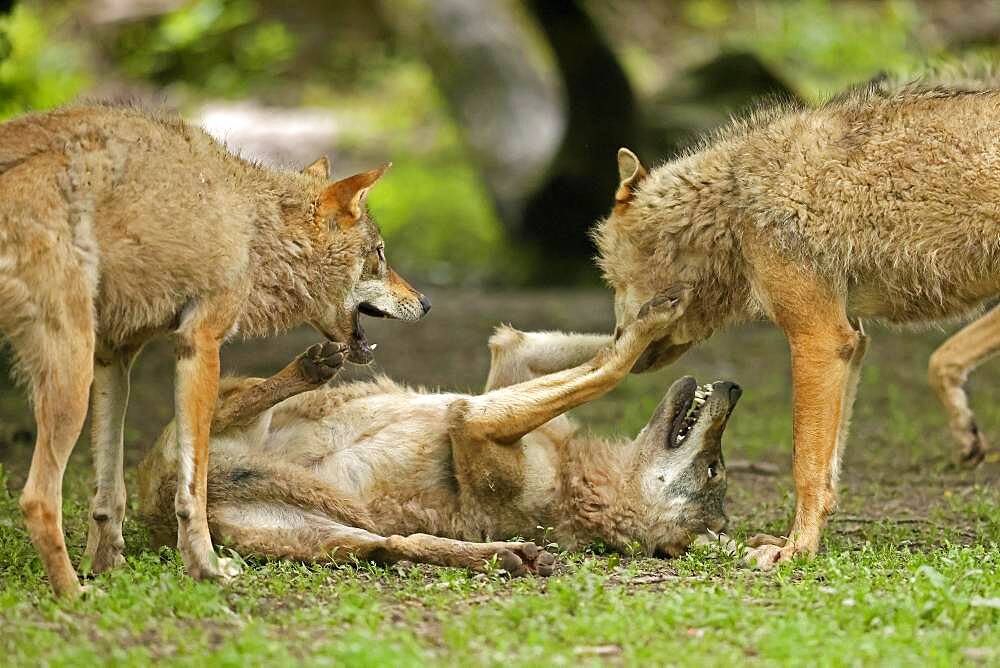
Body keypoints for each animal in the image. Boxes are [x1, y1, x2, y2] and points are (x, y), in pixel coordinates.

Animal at [0, 104, 426, 596]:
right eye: (380, 254)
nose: (426, 302)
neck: (254, 226)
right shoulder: (200, 344)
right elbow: (194, 488)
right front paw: (204, 566)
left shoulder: (114, 357)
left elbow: (109, 492)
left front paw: (107, 564)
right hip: (71, 378)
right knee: (36, 498)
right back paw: (72, 593)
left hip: (80, 369)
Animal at [137, 290, 740, 572]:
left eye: (715, 469)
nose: (734, 389)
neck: (577, 481)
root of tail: (156, 510)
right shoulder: (507, 369)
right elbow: (613, 354)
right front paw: (666, 319)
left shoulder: (474, 418)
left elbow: (608, 368)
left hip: (330, 538)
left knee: (397, 546)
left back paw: (508, 556)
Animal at [584, 79, 1000, 568]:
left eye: (611, 280)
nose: (617, 349)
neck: (733, 204)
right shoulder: (852, 340)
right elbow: (830, 469)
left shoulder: (819, 339)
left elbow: (805, 466)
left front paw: (797, 548)